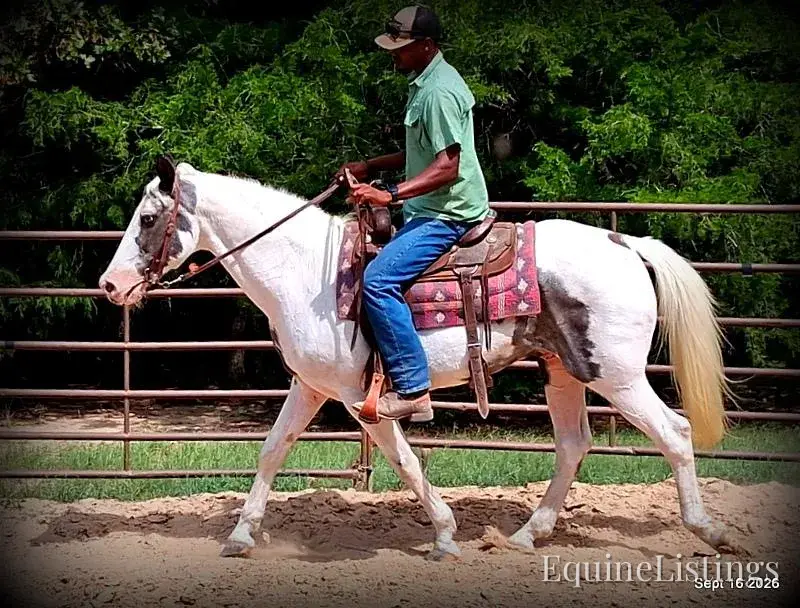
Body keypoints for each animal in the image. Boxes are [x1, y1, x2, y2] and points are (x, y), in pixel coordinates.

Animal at [98, 156, 745, 560]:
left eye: (148, 218)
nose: (110, 285)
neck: (305, 271)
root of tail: (625, 243)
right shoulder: (311, 386)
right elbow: (272, 450)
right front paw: (240, 535)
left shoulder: (361, 402)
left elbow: (406, 463)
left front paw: (445, 535)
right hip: (563, 373)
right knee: (572, 445)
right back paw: (526, 536)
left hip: (617, 374)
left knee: (674, 432)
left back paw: (707, 530)